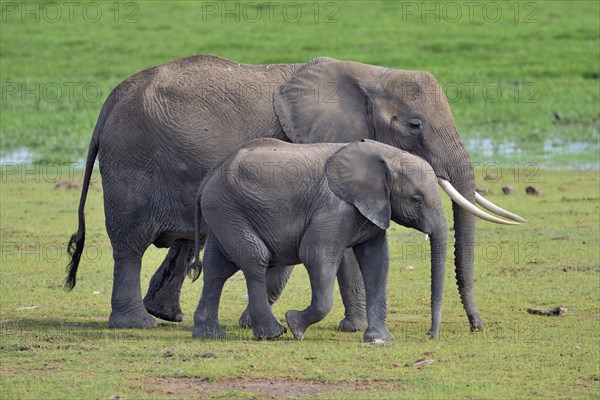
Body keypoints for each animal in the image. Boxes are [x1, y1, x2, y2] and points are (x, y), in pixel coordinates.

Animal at [195, 138, 448, 340]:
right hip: (227, 208)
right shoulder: (335, 208)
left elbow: (376, 262)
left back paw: (209, 334)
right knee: (255, 258)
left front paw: (381, 339)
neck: (386, 154)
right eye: (416, 199)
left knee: (216, 268)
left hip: (223, 213)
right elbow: (316, 254)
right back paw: (273, 333)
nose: (430, 335)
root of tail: (208, 177)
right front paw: (295, 326)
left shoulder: (371, 209)